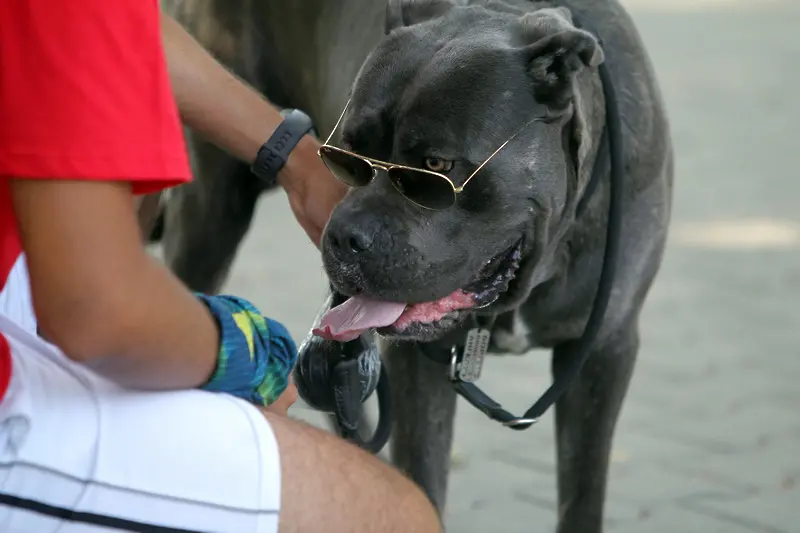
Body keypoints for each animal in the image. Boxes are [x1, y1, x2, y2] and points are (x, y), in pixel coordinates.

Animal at [155, 2, 668, 528]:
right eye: (346, 155)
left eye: (436, 167)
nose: (342, 236)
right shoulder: (419, 364)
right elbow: (424, 477)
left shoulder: (604, 350)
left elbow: (583, 493)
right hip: (210, 212)